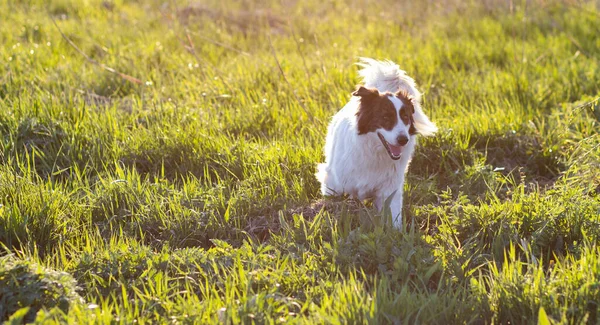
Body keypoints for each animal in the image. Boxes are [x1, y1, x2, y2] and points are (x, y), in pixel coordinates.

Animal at [314, 57, 436, 227]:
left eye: (405, 117)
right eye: (385, 117)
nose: (403, 140)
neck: (375, 153)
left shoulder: (389, 189)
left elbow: (393, 217)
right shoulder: (334, 183)